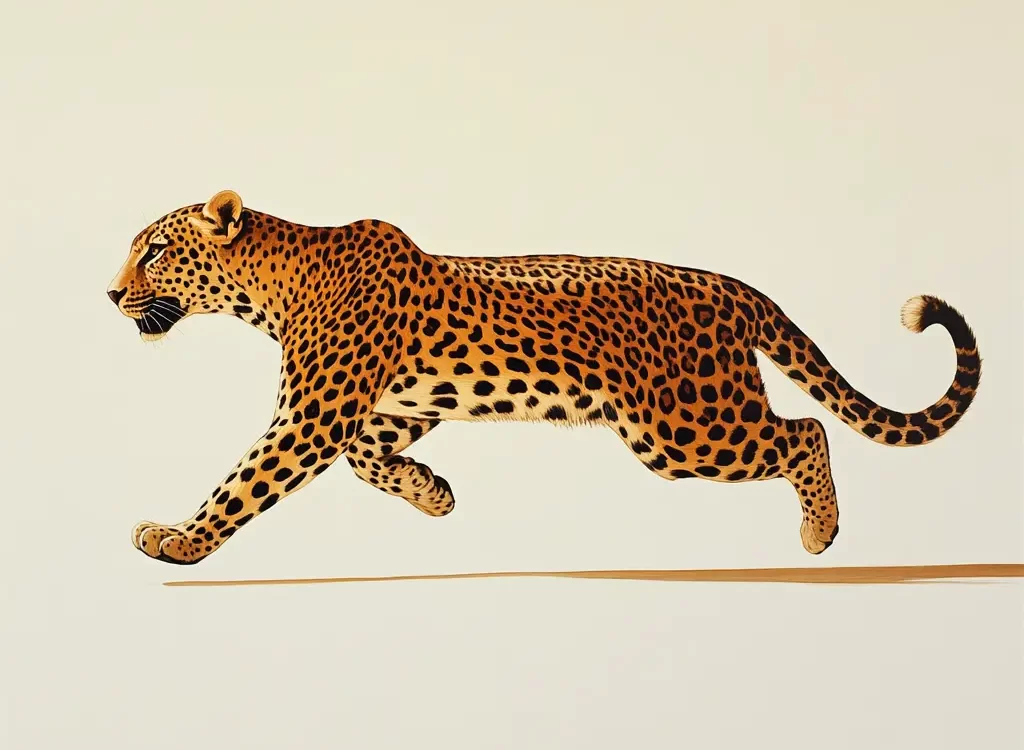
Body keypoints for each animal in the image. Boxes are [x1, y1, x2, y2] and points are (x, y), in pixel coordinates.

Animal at [106, 189, 982, 565]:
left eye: (155, 251)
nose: (111, 294)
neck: (272, 287)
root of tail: (729, 286)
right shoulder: (391, 406)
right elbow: (368, 460)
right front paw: (433, 494)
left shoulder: (314, 414)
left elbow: (244, 480)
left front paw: (178, 541)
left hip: (684, 427)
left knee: (807, 430)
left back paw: (819, 534)